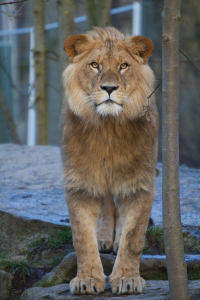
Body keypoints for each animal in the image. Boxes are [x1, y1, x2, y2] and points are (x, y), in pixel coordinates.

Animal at [61, 27, 158, 294]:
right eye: (95, 65)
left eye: (123, 66)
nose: (109, 88)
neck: (108, 129)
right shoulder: (80, 183)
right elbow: (82, 238)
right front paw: (87, 279)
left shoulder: (140, 183)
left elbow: (133, 237)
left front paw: (127, 278)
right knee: (106, 201)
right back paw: (104, 238)